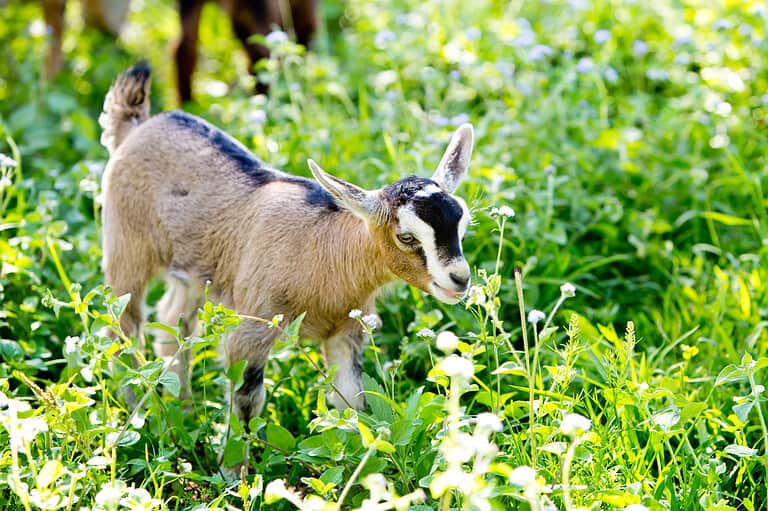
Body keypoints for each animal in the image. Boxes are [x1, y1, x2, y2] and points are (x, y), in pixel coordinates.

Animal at [99, 62, 474, 426]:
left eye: (462, 222)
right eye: (406, 236)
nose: (460, 279)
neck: (325, 249)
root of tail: (136, 126)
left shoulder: (346, 331)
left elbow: (351, 404)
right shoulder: (253, 328)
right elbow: (247, 402)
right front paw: (236, 451)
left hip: (194, 271)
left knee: (173, 322)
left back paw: (185, 412)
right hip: (125, 248)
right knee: (123, 328)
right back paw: (137, 415)